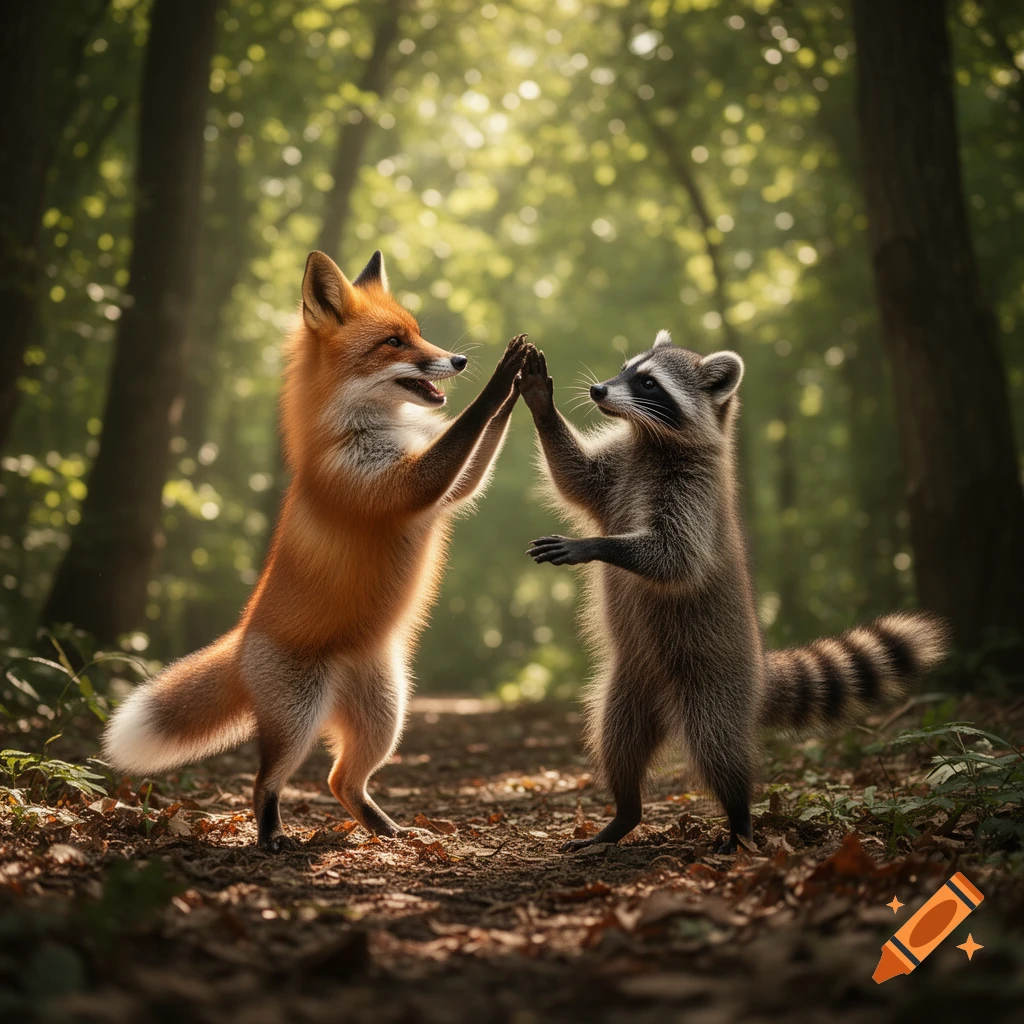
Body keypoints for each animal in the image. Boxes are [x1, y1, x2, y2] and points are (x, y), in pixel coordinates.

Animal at [104, 249, 529, 850]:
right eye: (395, 342)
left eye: (418, 334)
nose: (460, 359)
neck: (355, 433)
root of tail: (240, 642)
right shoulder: (399, 487)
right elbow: (468, 425)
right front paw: (501, 379)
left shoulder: (442, 490)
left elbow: (473, 459)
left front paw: (521, 384)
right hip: (301, 720)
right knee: (264, 783)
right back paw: (270, 837)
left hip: (386, 715)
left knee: (339, 781)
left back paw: (386, 829)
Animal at [518, 334, 947, 852]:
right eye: (626, 370)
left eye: (648, 383)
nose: (599, 390)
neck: (652, 441)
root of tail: (758, 673)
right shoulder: (620, 469)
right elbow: (576, 475)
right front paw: (541, 402)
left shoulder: (695, 493)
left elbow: (676, 557)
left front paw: (594, 545)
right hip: (631, 682)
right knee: (616, 739)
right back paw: (624, 813)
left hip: (714, 681)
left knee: (716, 746)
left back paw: (740, 818)